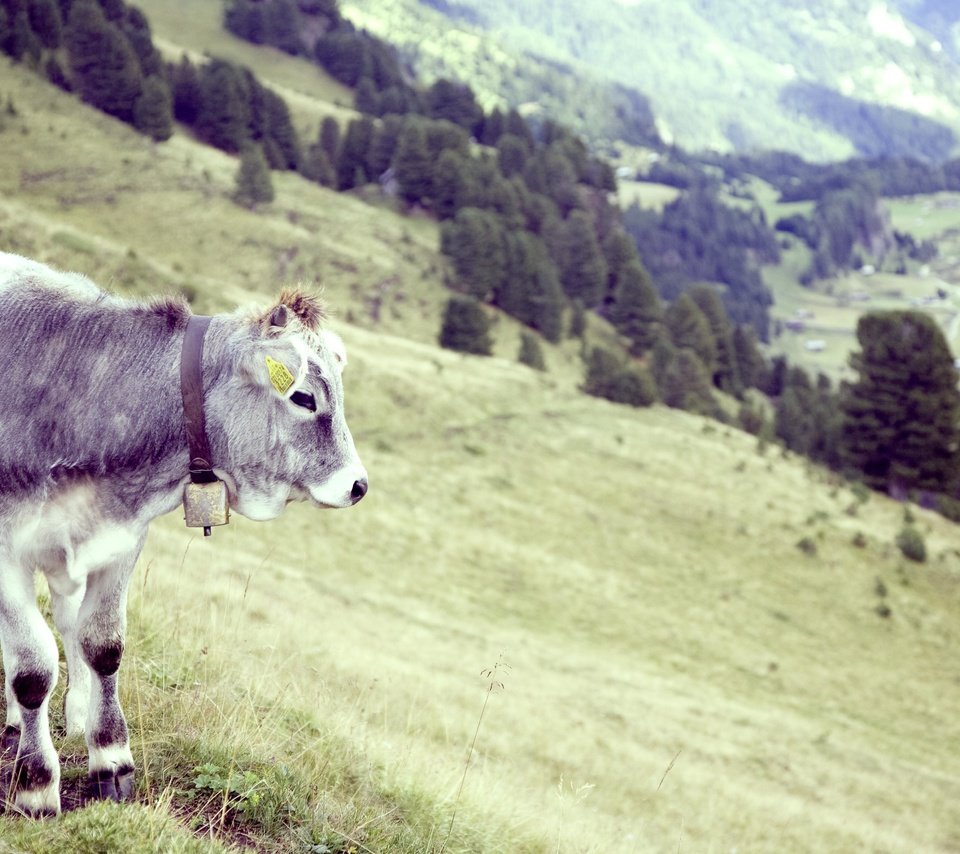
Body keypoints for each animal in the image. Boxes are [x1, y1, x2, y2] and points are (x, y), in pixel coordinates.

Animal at [0, 252, 368, 816]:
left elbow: (102, 643)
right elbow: (32, 669)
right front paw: (36, 785)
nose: (358, 484)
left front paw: (111, 759)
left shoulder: (121, 539)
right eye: (303, 397)